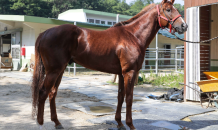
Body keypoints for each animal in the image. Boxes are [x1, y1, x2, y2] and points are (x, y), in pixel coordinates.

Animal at [31, 0, 188, 129]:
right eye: (168, 9)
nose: (184, 26)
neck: (133, 36)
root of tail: (44, 33)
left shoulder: (121, 74)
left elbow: (120, 96)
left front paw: (119, 123)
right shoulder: (129, 72)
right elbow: (129, 98)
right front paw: (130, 125)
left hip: (60, 70)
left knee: (52, 93)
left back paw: (57, 123)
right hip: (53, 71)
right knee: (43, 92)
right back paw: (40, 123)